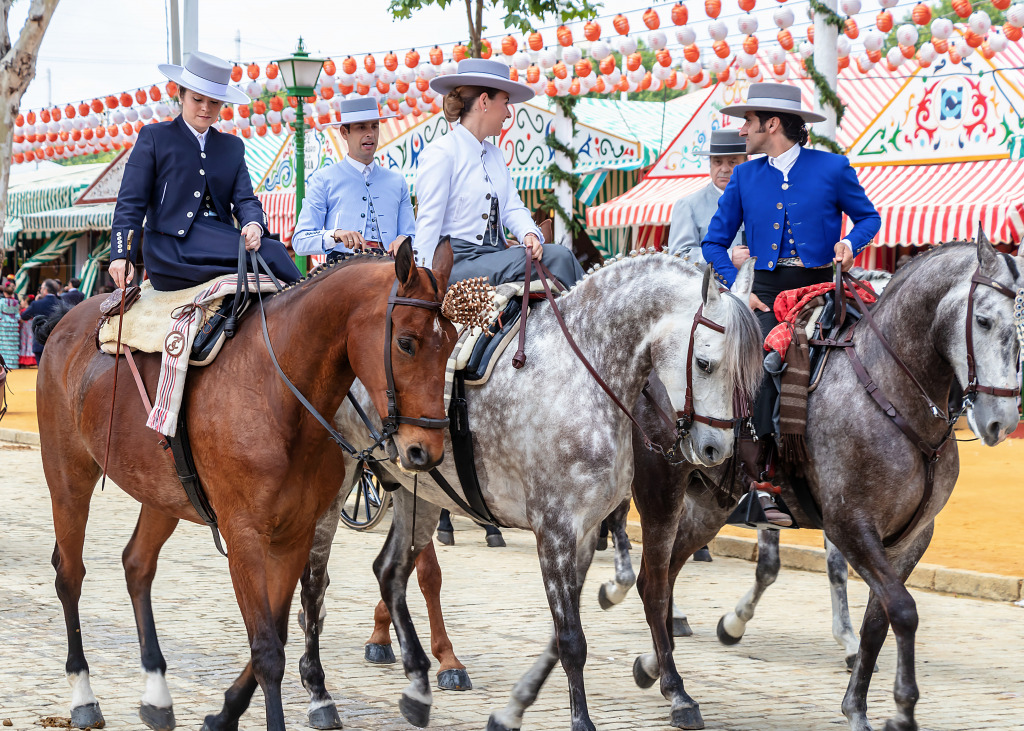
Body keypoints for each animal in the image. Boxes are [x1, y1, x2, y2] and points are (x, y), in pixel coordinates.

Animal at [37, 240, 452, 728]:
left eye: (451, 344)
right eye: (406, 342)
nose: (427, 450)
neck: (278, 394)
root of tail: (66, 319)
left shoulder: (294, 534)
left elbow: (276, 633)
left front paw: (225, 712)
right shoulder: (245, 536)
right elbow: (267, 650)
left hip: (161, 493)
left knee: (137, 565)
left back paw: (156, 693)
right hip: (68, 477)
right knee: (70, 575)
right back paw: (83, 695)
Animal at [296, 251, 770, 728]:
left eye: (750, 373)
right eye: (706, 364)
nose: (716, 449)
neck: (584, 376)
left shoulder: (585, 532)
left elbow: (563, 633)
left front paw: (516, 705)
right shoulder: (555, 529)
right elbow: (573, 638)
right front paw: (582, 719)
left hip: (419, 492)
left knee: (390, 572)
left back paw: (418, 683)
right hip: (337, 485)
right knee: (316, 582)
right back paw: (319, 689)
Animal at [618, 236, 1019, 724]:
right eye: (983, 320)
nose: (1002, 420)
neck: (892, 391)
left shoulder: (912, 537)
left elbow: (877, 619)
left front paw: (857, 706)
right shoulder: (849, 524)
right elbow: (901, 609)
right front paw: (903, 707)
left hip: (711, 504)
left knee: (666, 573)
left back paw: (653, 664)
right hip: (661, 491)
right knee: (654, 582)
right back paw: (677, 692)